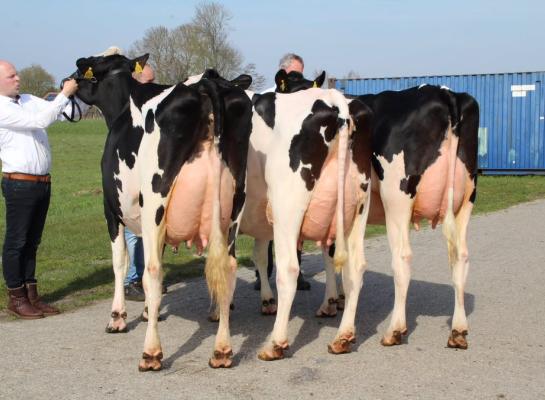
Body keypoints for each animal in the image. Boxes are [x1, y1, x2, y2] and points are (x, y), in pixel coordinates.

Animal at [69, 52, 253, 368]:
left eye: (90, 68)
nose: (69, 81)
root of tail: (206, 82)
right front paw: (145, 311)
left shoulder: (111, 211)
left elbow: (121, 262)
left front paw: (117, 318)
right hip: (235, 204)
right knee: (227, 267)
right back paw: (222, 349)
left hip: (156, 197)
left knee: (154, 270)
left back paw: (151, 352)